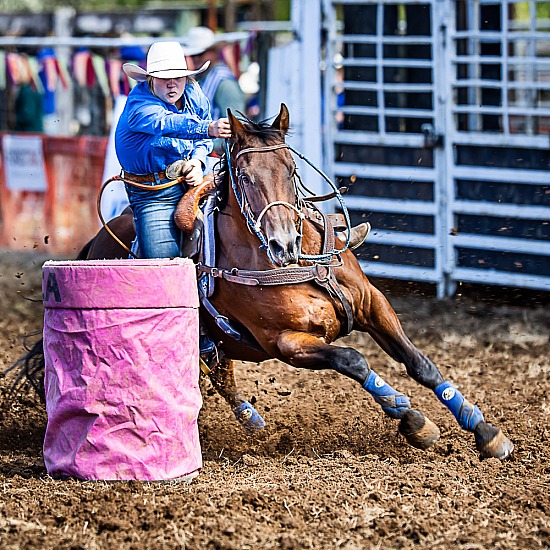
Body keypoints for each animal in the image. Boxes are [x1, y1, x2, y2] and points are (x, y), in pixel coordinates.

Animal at [71, 104, 516, 462]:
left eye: (291, 168)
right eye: (245, 177)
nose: (283, 242)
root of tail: (94, 242)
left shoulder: (374, 304)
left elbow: (420, 363)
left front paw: (485, 431)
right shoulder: (286, 343)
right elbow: (354, 360)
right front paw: (414, 420)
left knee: (222, 374)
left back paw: (252, 420)